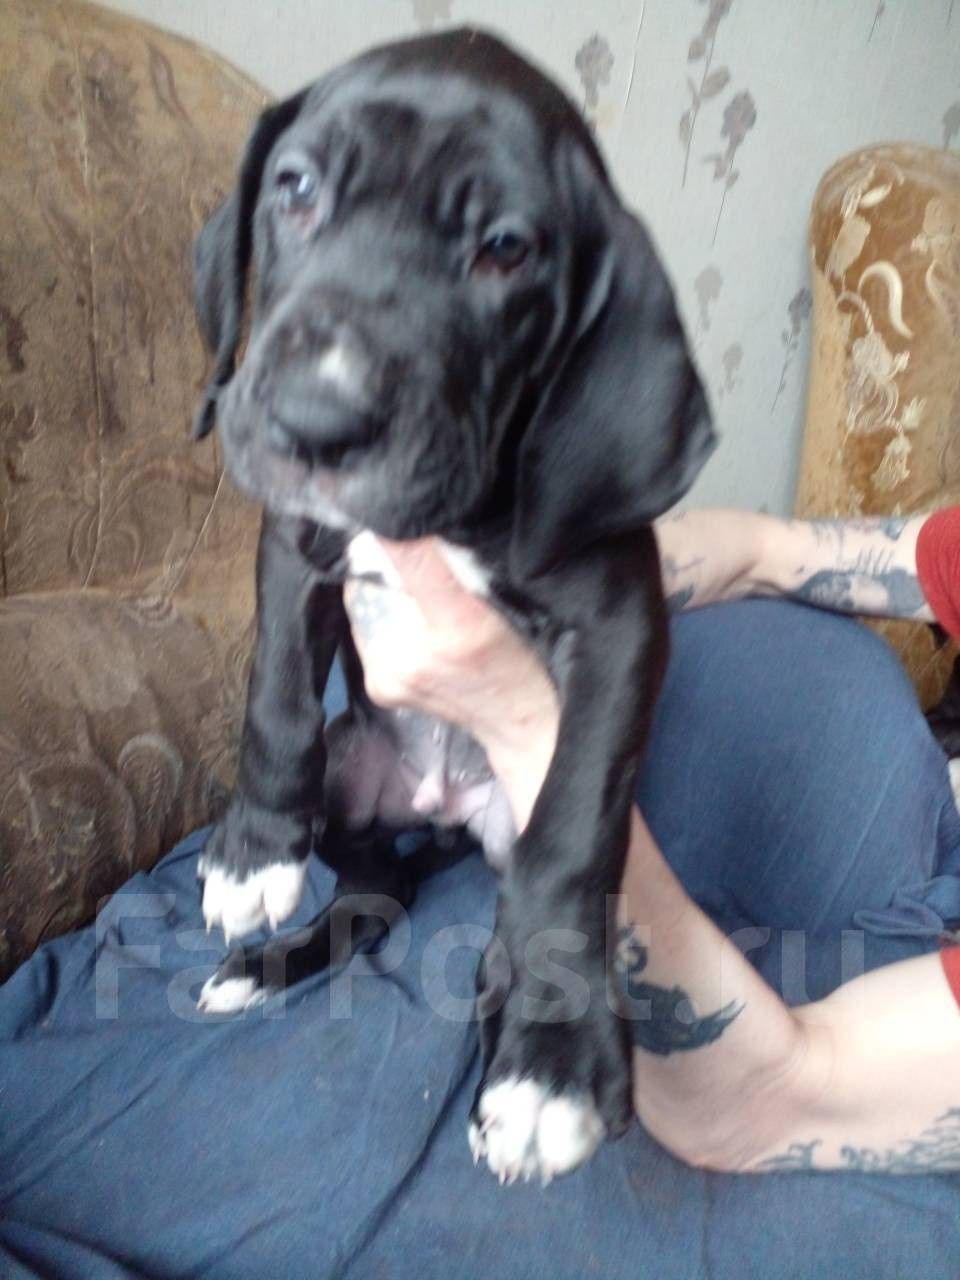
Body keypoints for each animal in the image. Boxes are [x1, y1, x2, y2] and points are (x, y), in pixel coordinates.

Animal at [191, 28, 715, 1184]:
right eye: (295, 189)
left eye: (505, 250)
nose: (315, 418)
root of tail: (435, 813)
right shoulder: (297, 544)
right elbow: (276, 694)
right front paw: (254, 850)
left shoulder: (620, 626)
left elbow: (576, 833)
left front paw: (555, 1058)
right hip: (356, 777)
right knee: (373, 893)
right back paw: (271, 961)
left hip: (502, 826)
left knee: (507, 920)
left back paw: (515, 1031)